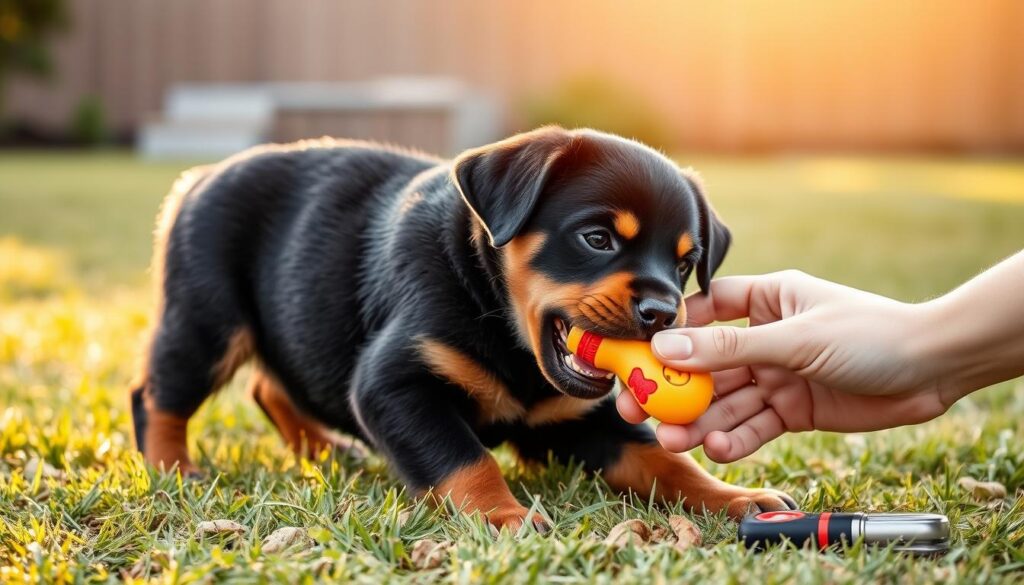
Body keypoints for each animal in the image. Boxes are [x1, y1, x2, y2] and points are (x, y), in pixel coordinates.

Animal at [130, 127, 798, 532]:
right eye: (597, 239)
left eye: (685, 264)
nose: (662, 311)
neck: (506, 331)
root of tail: (199, 176)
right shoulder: (395, 386)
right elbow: (464, 459)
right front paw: (505, 518)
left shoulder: (588, 421)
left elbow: (666, 462)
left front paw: (740, 499)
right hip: (207, 320)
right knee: (157, 393)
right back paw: (173, 469)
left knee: (268, 386)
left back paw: (325, 448)